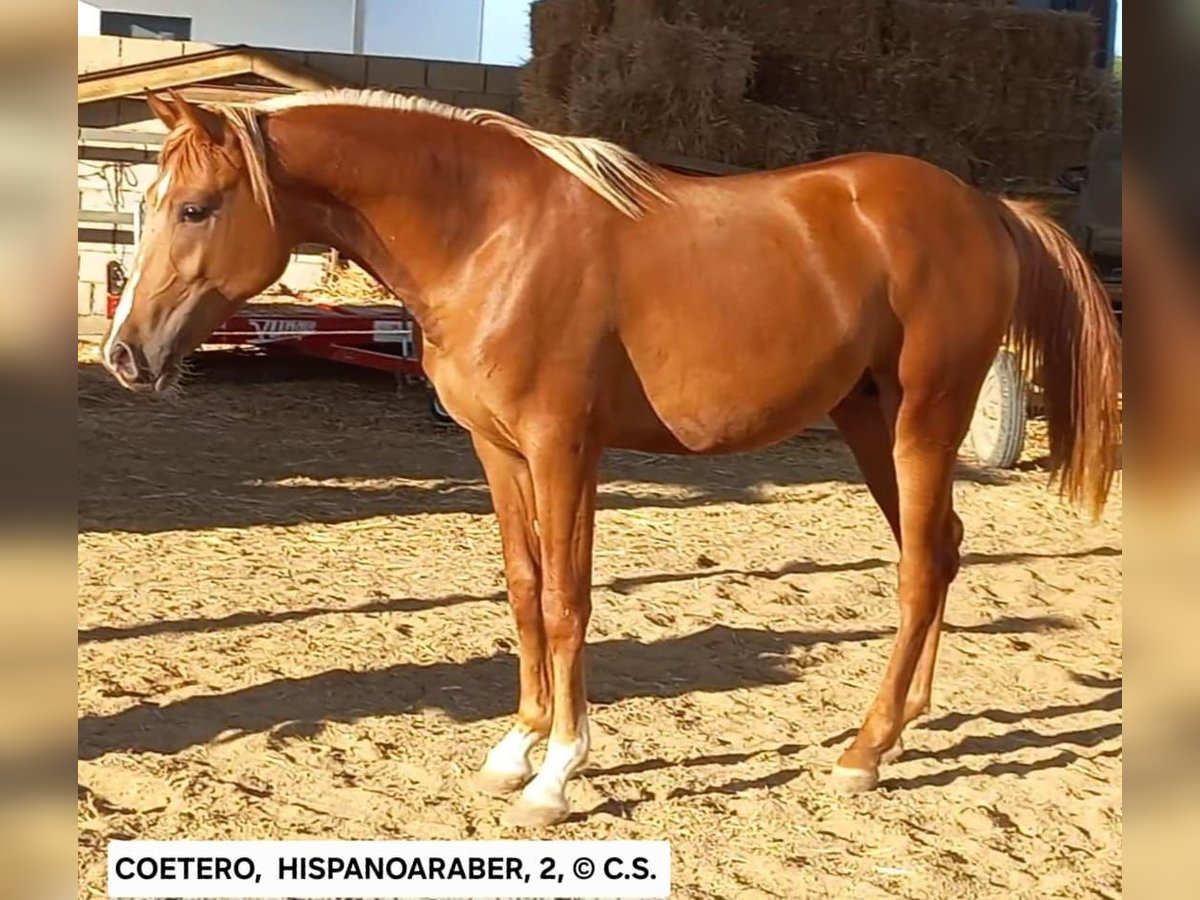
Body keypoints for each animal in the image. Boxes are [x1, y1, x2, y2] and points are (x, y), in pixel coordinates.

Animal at [100, 88, 1121, 828]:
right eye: (146, 205)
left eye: (195, 207)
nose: (124, 355)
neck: (488, 233)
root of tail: (989, 208)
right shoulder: (498, 451)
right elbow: (522, 590)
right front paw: (513, 750)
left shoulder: (564, 450)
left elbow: (566, 601)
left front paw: (557, 774)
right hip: (871, 424)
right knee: (940, 550)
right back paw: (908, 726)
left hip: (923, 424)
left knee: (916, 572)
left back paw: (864, 753)